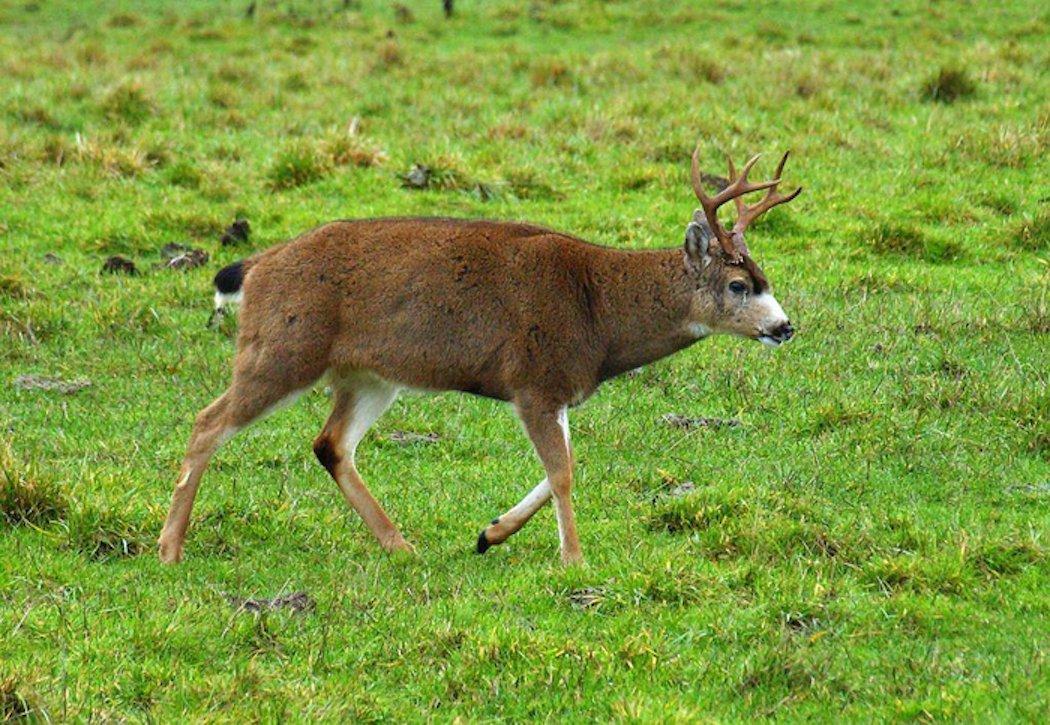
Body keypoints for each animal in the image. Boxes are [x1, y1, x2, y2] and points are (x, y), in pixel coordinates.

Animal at [155, 143, 797, 563]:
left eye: (761, 276)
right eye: (738, 285)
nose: (785, 326)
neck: (599, 310)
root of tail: (257, 266)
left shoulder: (557, 390)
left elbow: (563, 465)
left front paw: (490, 534)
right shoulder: (533, 379)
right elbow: (563, 471)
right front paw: (573, 560)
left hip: (367, 375)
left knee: (330, 444)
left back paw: (402, 546)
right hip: (283, 347)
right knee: (207, 423)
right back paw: (169, 547)